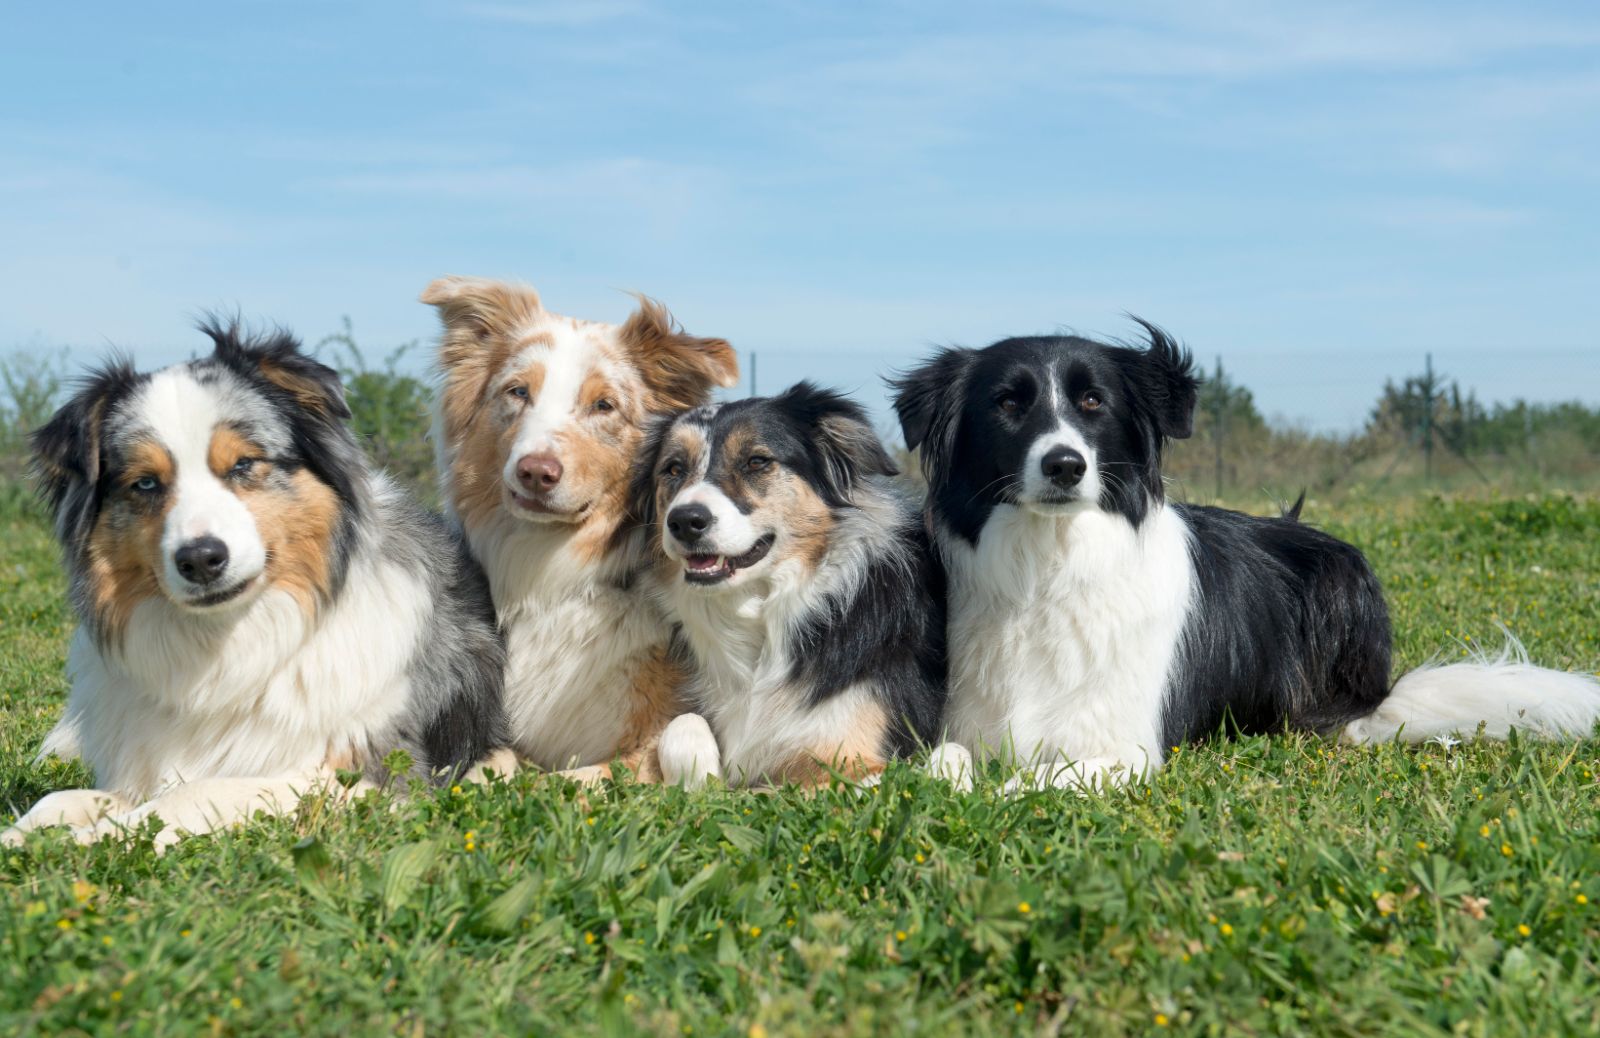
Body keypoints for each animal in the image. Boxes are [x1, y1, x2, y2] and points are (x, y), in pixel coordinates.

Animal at [4, 323, 505, 850]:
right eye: (145, 483)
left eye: (244, 464)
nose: (201, 559)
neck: (230, 646)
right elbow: (57, 800)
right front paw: (26, 835)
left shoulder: (374, 777)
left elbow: (195, 791)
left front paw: (97, 837)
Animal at [422, 275, 739, 777]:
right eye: (517, 392)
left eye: (604, 405)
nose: (535, 471)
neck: (556, 576)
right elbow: (494, 766)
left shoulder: (642, 745)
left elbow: (581, 775)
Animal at [630, 382, 940, 786]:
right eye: (673, 468)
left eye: (757, 461)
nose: (684, 521)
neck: (762, 612)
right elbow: (682, 724)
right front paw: (700, 778)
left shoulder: (858, 759)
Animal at [896, 319, 1600, 790]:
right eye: (1007, 404)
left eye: (1093, 401)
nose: (1065, 465)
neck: (1052, 565)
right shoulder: (965, 725)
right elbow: (942, 764)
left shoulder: (1130, 747)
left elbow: (1046, 778)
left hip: (1341, 580)